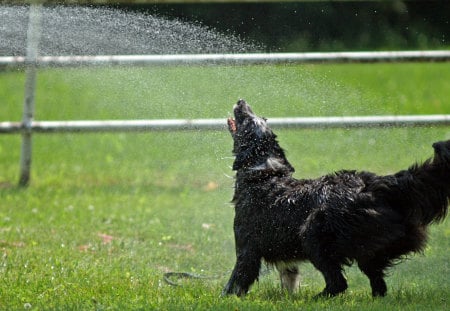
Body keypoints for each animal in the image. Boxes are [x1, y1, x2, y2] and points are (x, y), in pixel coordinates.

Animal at [223, 101, 450, 298]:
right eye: (259, 118)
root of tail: (377, 185)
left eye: (248, 120)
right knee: (377, 283)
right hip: (368, 249)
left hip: (312, 232)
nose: (242, 102)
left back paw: (316, 299)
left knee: (338, 283)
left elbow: (236, 281)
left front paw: (227, 298)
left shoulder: (247, 250)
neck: (263, 172)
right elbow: (289, 278)